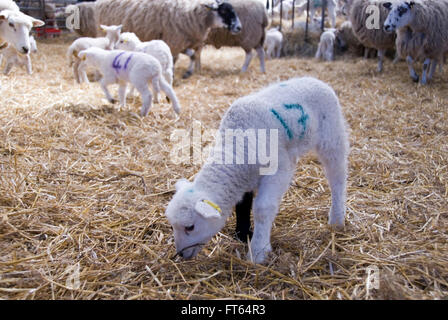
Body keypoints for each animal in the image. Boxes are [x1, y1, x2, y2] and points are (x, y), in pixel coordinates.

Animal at [94, 0, 242, 79]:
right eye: (224, 11)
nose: (239, 27)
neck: (193, 15)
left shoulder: (181, 43)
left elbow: (193, 55)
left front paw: (188, 73)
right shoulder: (174, 41)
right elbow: (176, 59)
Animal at [164, 76, 350, 264]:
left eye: (190, 227)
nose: (181, 254)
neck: (237, 147)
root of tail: (315, 80)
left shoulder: (278, 169)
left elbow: (262, 208)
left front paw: (258, 251)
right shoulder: (247, 176)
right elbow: (243, 205)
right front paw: (243, 234)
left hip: (332, 136)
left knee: (337, 176)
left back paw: (336, 219)